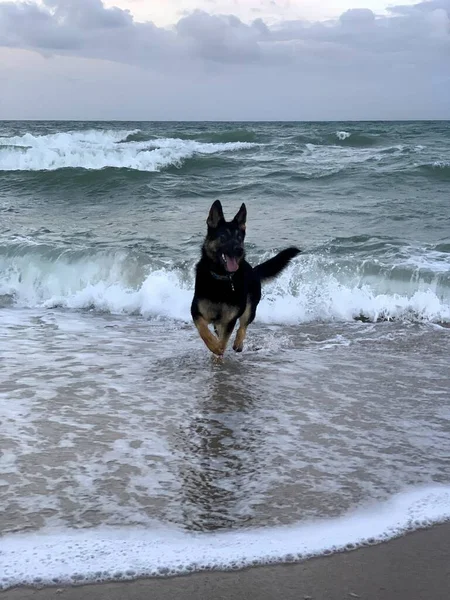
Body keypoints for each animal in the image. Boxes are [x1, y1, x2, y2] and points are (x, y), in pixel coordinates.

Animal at [192, 199, 300, 354]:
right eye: (223, 237)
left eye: (239, 237)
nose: (240, 250)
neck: (222, 278)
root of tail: (253, 270)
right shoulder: (196, 312)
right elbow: (204, 331)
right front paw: (214, 346)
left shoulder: (229, 320)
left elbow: (224, 340)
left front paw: (219, 349)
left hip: (249, 309)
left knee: (243, 326)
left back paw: (238, 343)